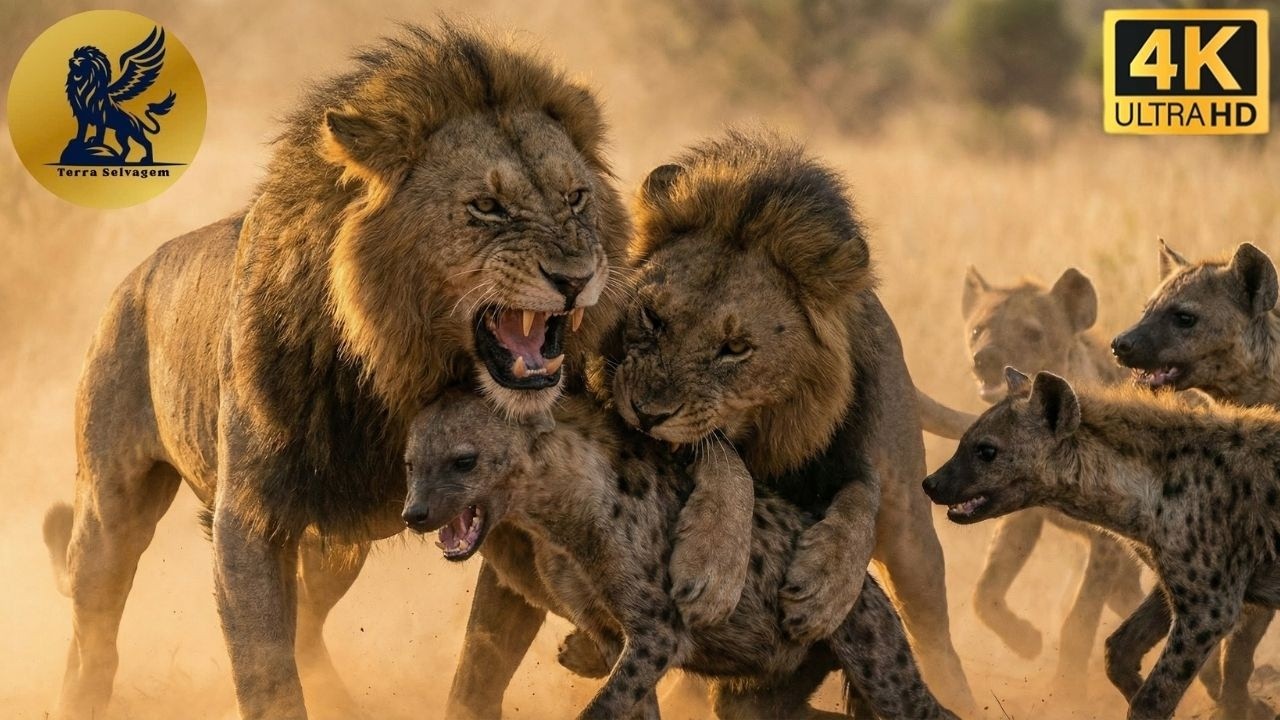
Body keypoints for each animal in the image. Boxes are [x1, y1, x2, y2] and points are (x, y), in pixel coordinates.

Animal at [41, 23, 628, 720]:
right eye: (486, 206)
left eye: (576, 198)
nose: (576, 278)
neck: (405, 372)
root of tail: (132, 278)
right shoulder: (250, 519)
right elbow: (267, 675)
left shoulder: (509, 516)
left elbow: (482, 668)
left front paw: (586, 650)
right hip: (111, 505)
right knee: (92, 634)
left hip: (333, 545)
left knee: (309, 626)